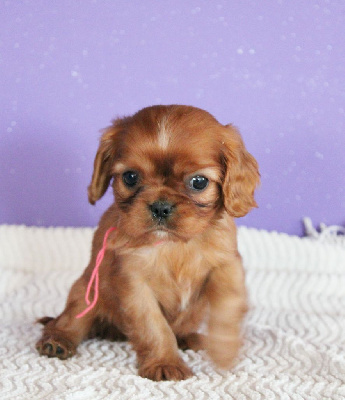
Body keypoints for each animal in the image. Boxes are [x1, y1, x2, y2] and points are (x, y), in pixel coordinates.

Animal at [37, 104, 258, 380]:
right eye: (130, 177)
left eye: (199, 182)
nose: (160, 207)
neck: (175, 246)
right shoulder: (135, 283)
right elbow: (154, 326)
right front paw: (165, 362)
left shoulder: (227, 265)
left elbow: (228, 305)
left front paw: (224, 349)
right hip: (85, 292)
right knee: (72, 319)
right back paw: (57, 340)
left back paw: (189, 338)